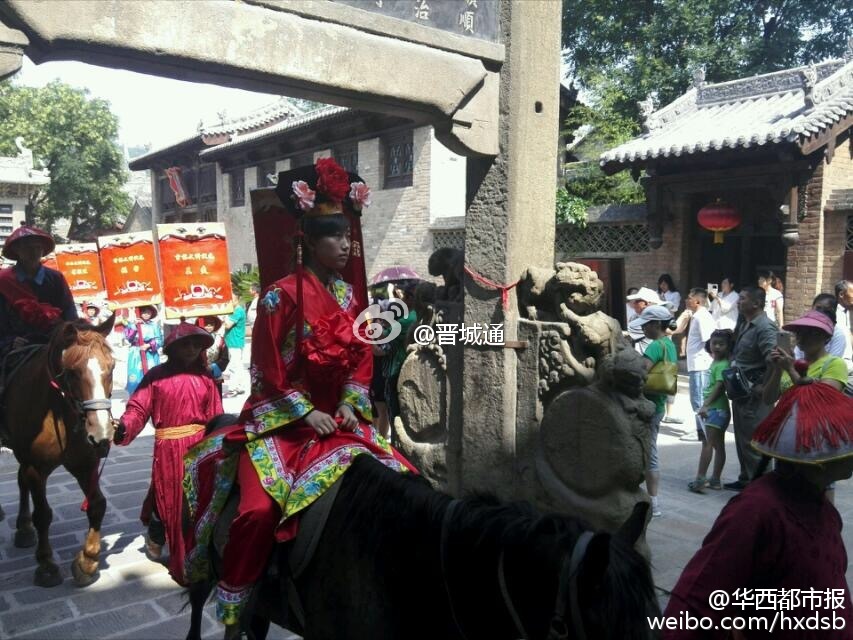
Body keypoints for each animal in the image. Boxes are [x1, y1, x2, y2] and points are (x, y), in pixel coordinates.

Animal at [2, 317, 117, 588]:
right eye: (72, 371)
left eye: (112, 366)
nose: (101, 431)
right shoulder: (35, 467)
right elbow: (43, 514)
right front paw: (46, 565)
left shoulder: (85, 464)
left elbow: (97, 504)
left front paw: (88, 560)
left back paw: (23, 528)